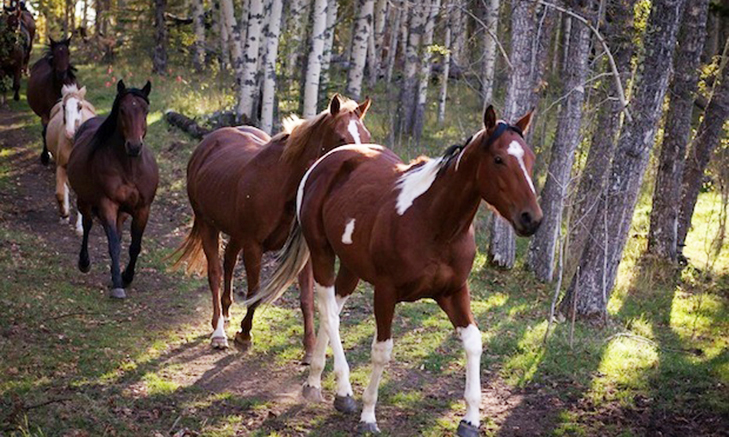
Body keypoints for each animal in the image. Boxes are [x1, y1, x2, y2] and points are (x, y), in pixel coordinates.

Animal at [27, 35, 77, 164]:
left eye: (68, 53)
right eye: (55, 54)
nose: (62, 74)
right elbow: (45, 132)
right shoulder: (45, 115)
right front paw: (45, 156)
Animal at [45, 84, 95, 233]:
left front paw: (80, 227)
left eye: (79, 106)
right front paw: (64, 215)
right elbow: (60, 193)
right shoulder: (61, 166)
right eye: (64, 106)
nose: (69, 132)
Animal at [173, 93, 372, 362]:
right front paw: (244, 335)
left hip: (235, 234)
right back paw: (218, 332)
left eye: (367, 136)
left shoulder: (304, 251)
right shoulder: (253, 247)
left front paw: (309, 348)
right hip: (208, 225)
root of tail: (206, 146)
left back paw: (226, 313)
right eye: (341, 138)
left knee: (229, 261)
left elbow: (306, 299)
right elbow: (254, 292)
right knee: (215, 273)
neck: (283, 184)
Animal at [250, 106, 540, 436]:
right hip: (322, 253)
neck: (434, 222)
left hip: (351, 267)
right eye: (499, 159)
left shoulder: (454, 291)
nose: (531, 218)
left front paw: (470, 419)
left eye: (530, 158)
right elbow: (382, 350)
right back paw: (344, 391)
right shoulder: (386, 292)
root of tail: (325, 161)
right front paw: (368, 415)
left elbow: (473, 342)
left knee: (332, 307)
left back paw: (315, 383)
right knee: (328, 311)